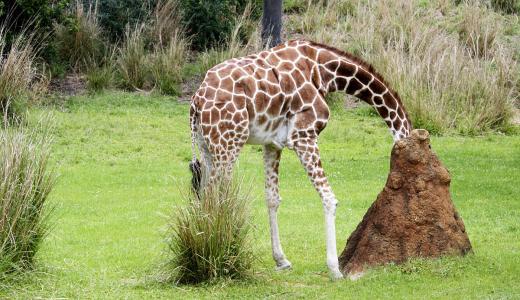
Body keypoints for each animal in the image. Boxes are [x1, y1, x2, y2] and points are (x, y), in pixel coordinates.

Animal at [187, 39, 410, 278]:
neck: (324, 71)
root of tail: (196, 101)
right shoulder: (304, 135)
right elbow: (329, 198)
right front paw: (334, 269)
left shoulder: (271, 143)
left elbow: (272, 198)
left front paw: (281, 260)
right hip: (228, 144)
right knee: (216, 197)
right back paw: (216, 256)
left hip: (207, 148)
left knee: (204, 194)